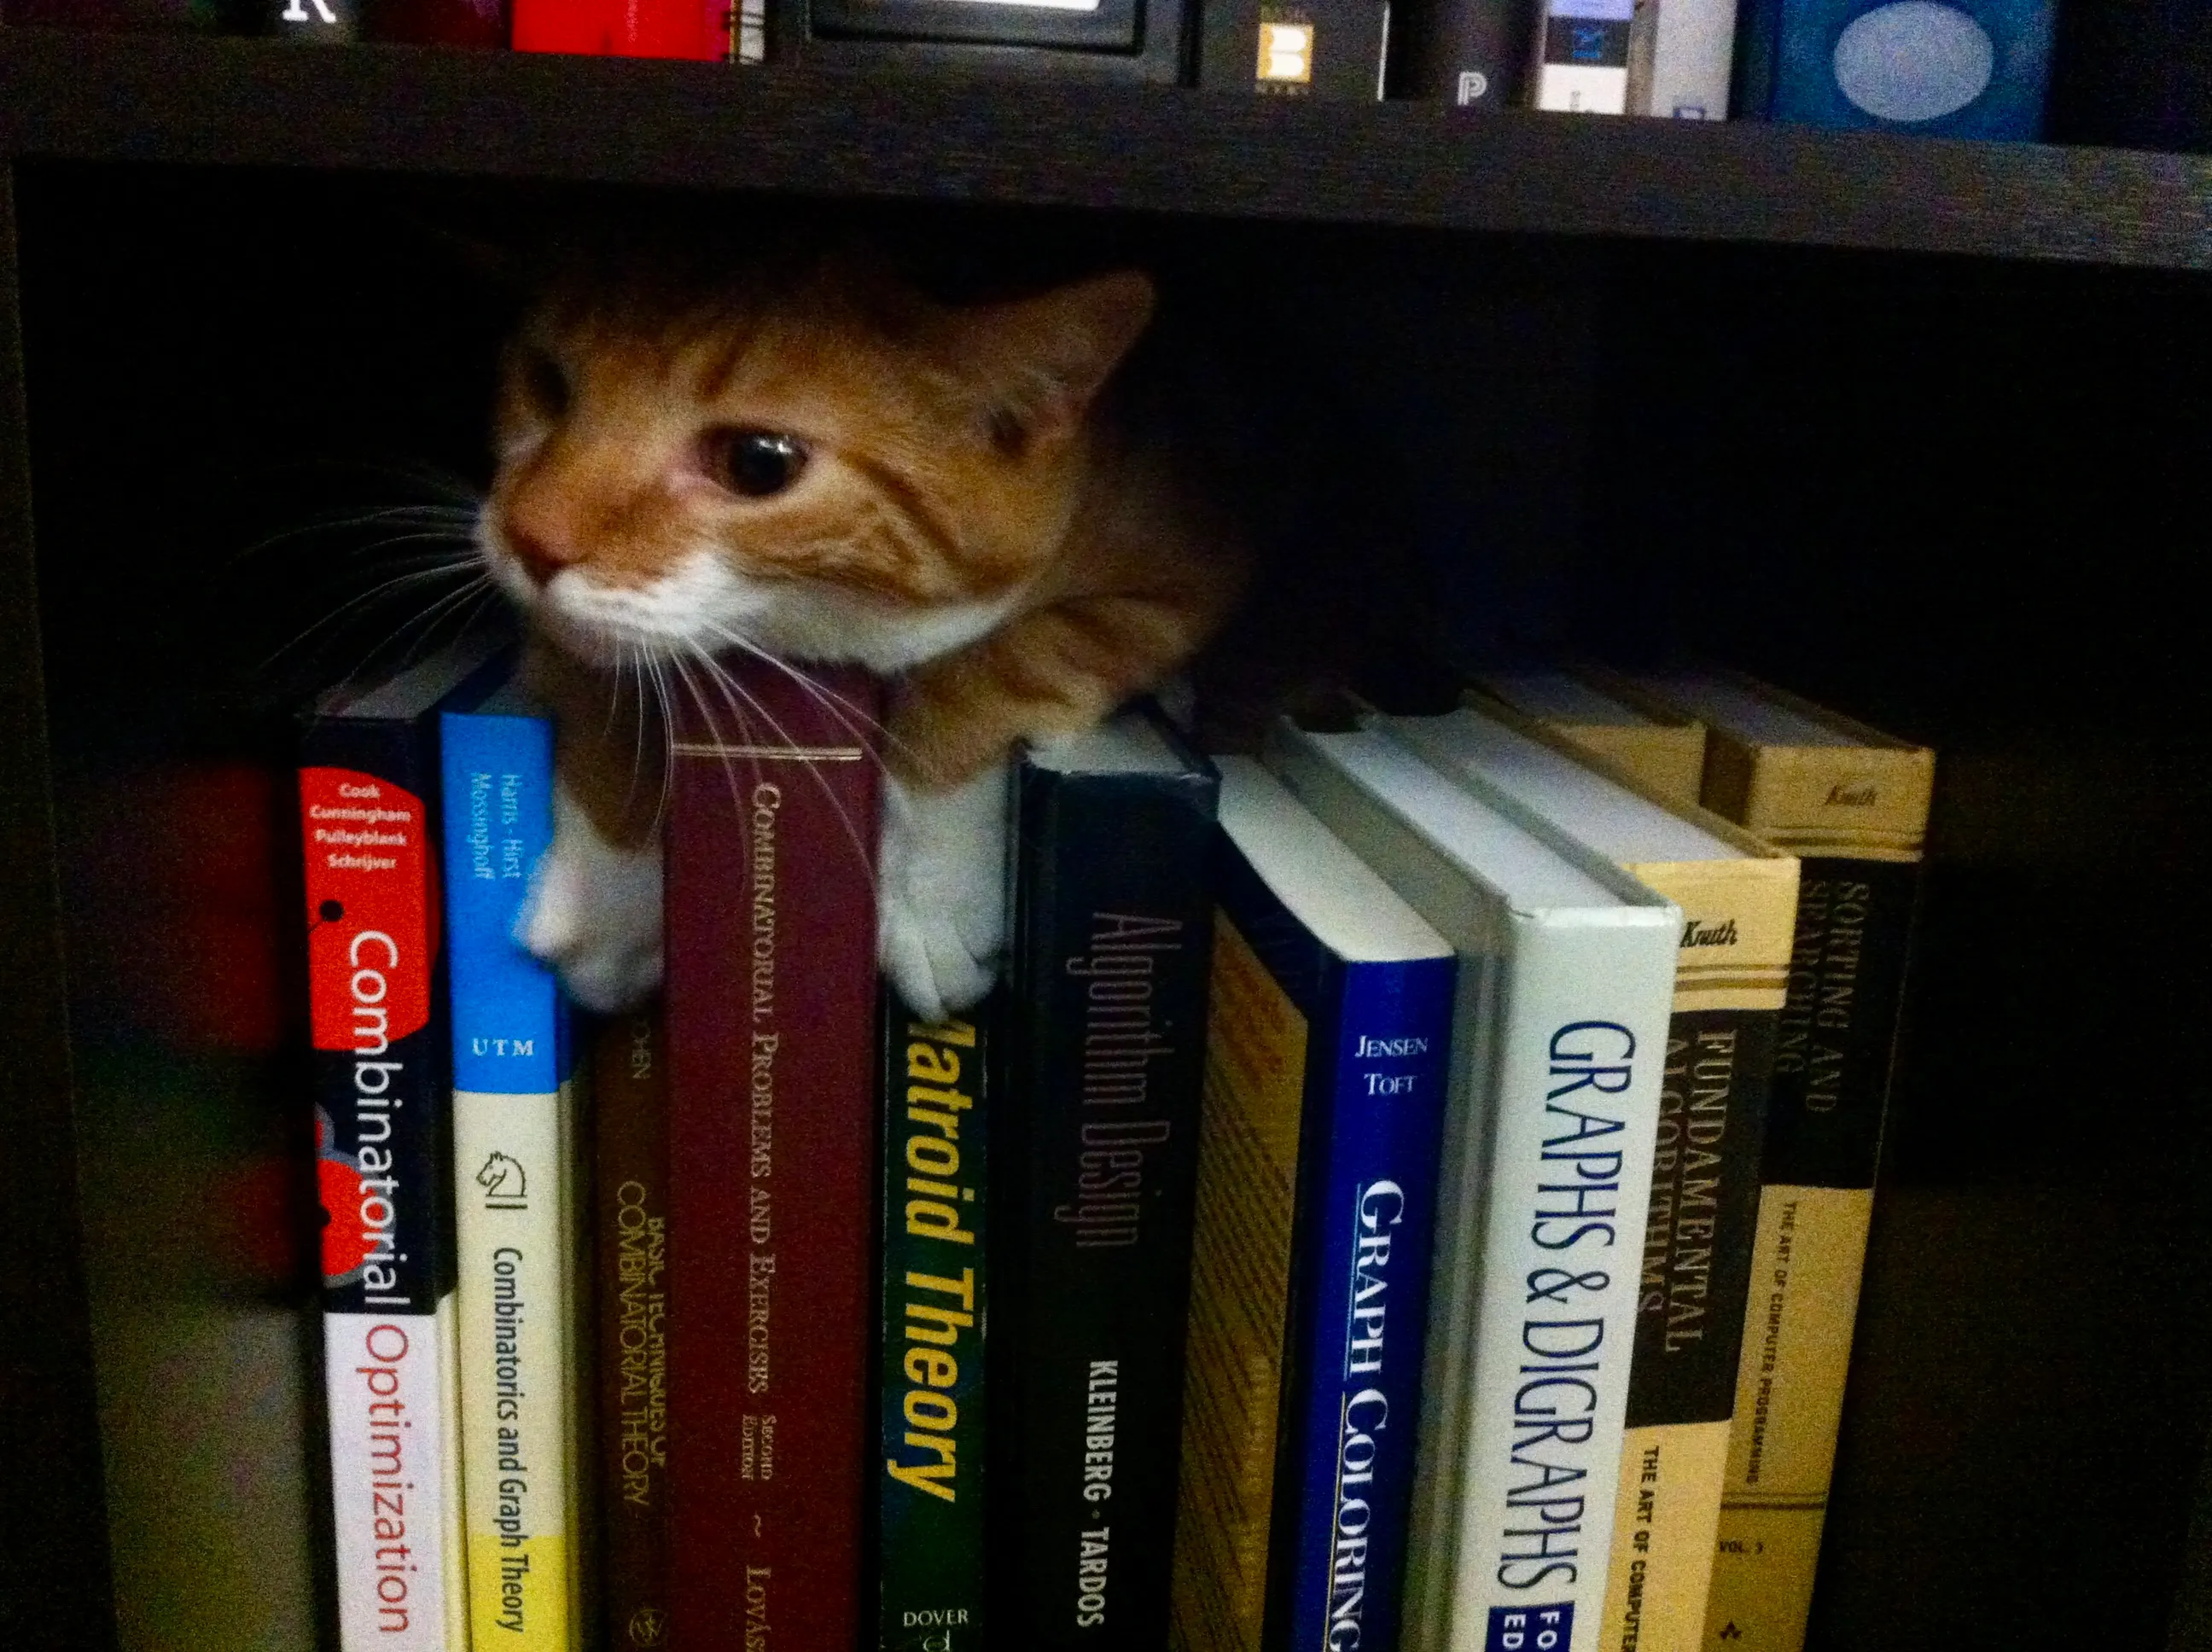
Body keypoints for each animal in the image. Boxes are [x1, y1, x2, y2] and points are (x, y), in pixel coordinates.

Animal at [477, 237, 1256, 1012]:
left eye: (756, 463)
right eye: (548, 383)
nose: (529, 539)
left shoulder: (1188, 571)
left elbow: (1002, 666)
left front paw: (935, 898)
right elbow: (604, 679)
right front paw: (612, 893)